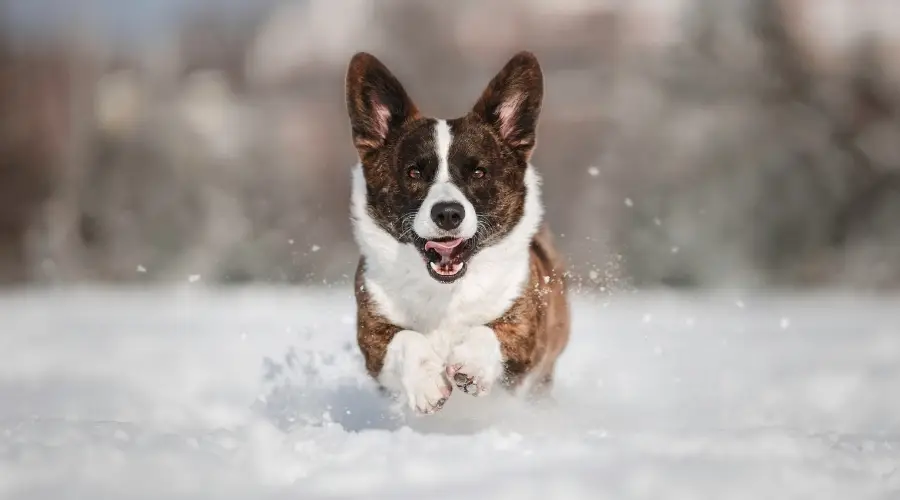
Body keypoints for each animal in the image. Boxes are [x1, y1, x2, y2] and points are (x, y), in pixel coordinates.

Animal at [344, 51, 568, 414]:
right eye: (414, 172)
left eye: (478, 172)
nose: (448, 213)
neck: (445, 292)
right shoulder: (372, 336)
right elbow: (406, 338)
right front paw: (428, 385)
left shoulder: (526, 333)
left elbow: (492, 332)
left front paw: (471, 367)